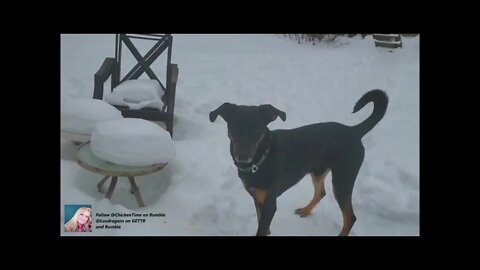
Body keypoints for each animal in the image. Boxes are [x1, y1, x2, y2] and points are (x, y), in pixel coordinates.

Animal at [209, 89, 386, 235]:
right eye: (234, 129)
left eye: (257, 130)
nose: (242, 157)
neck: (262, 158)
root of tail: (354, 131)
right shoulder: (259, 199)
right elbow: (261, 223)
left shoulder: (269, 204)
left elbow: (261, 228)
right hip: (318, 171)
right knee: (321, 192)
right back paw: (306, 210)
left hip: (343, 179)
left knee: (350, 217)